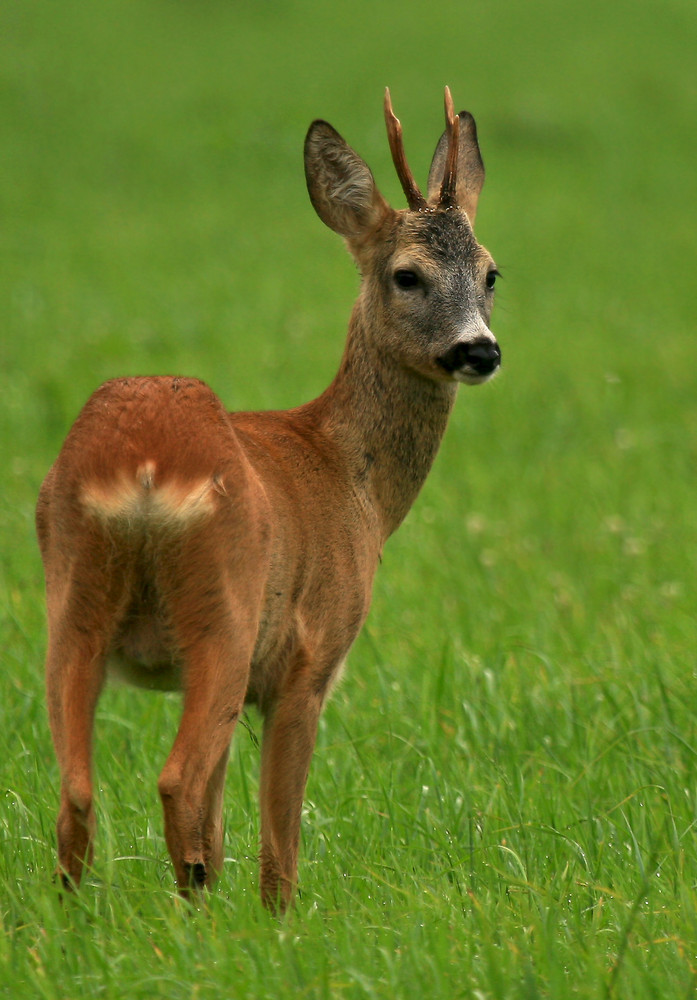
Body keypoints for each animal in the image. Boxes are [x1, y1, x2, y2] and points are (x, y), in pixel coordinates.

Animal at [35, 88, 500, 916]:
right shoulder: (308, 660)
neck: (354, 479)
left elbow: (222, 824)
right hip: (223, 610)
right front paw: (279, 921)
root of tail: (144, 470)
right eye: (406, 275)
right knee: (175, 780)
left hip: (73, 603)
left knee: (78, 793)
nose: (477, 350)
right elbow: (278, 838)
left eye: (490, 273)